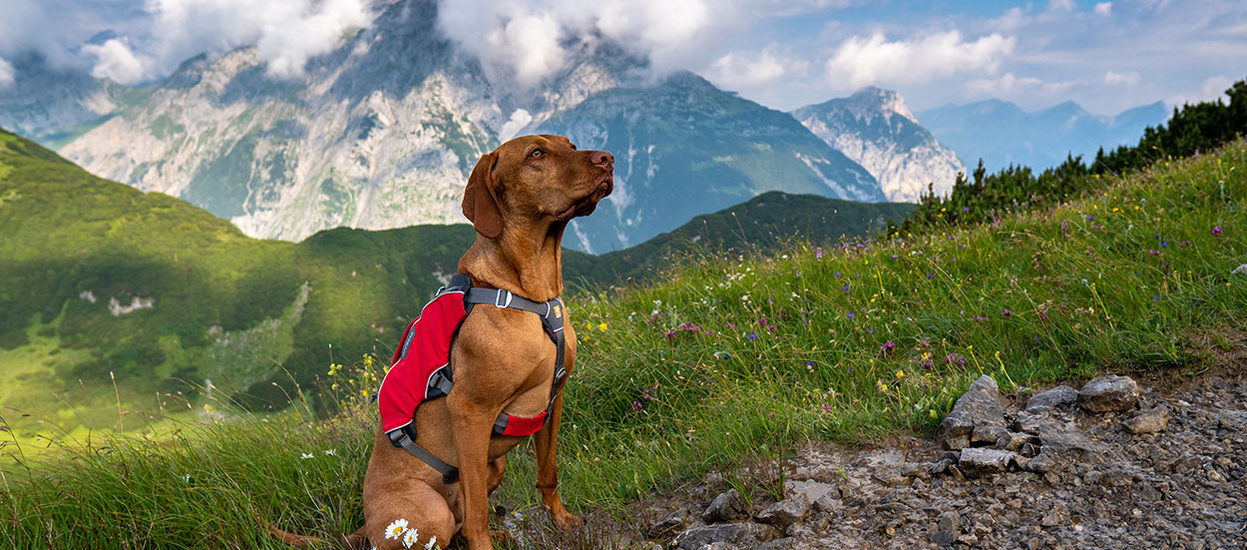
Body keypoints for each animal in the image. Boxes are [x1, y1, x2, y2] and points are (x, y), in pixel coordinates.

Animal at [356, 134, 613, 548]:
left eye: (570, 145)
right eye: (536, 154)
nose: (607, 158)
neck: (532, 293)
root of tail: (366, 523)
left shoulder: (554, 398)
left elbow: (548, 473)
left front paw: (561, 520)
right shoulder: (470, 412)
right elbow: (477, 510)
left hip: (496, 464)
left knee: (463, 522)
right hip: (432, 511)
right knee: (457, 522)